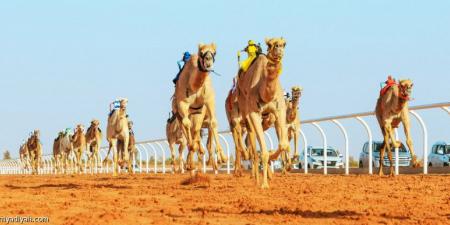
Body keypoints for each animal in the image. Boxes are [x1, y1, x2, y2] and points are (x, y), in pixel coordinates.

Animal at [173, 43, 229, 174]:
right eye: (201, 52)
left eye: (214, 52)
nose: (208, 60)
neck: (194, 85)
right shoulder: (183, 104)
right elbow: (188, 127)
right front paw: (192, 160)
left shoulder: (206, 102)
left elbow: (212, 124)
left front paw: (222, 158)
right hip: (179, 115)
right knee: (187, 129)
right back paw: (191, 162)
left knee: (202, 134)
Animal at [236, 37, 288, 188]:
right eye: (270, 44)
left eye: (284, 44)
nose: (279, 47)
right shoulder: (254, 113)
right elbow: (262, 152)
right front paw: (264, 184)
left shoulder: (280, 110)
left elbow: (283, 144)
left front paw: (272, 157)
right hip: (245, 112)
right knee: (252, 146)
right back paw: (257, 179)